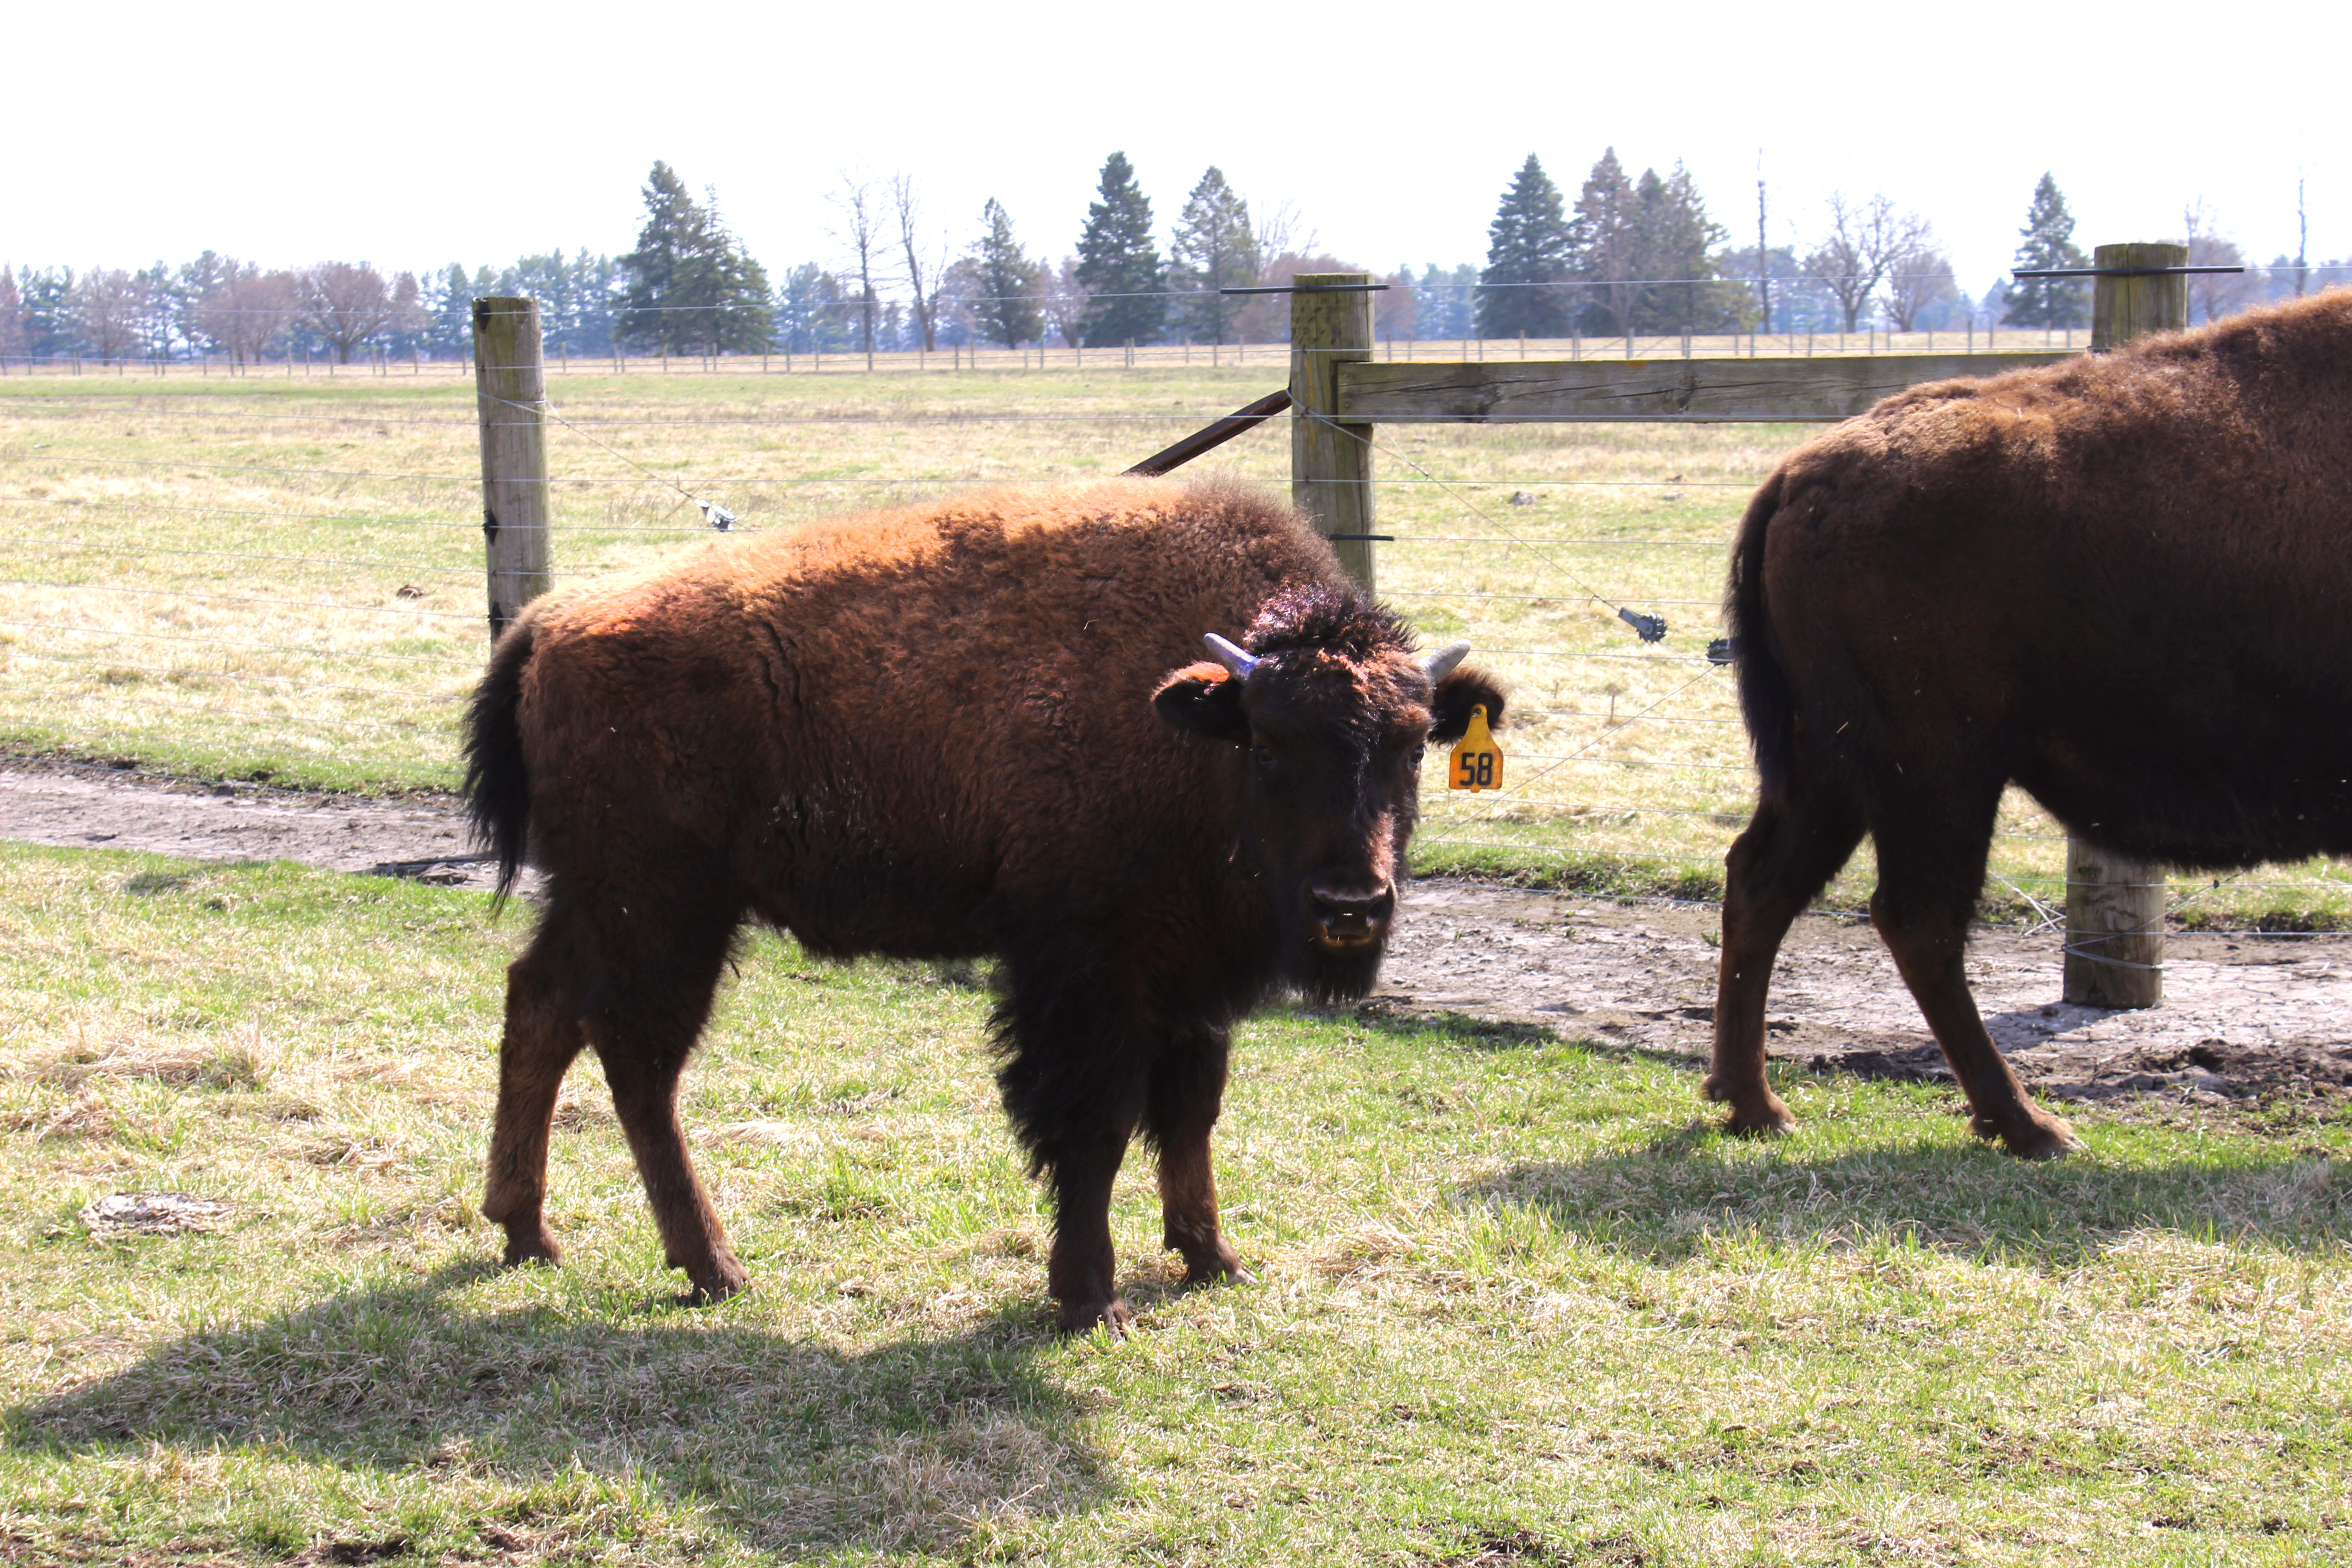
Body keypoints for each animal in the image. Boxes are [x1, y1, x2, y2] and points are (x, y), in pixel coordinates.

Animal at [458, 475, 1505, 1326]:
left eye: (1410, 743)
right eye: (1273, 746)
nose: (1349, 905)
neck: (1192, 729)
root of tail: (548, 623)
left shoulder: (1190, 981)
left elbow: (1189, 1114)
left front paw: (1213, 1258)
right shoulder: (1089, 974)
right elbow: (1092, 1127)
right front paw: (1089, 1299)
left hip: (598, 903)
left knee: (539, 1008)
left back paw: (526, 1231)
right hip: (666, 914)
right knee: (637, 1062)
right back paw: (713, 1267)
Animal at [1712, 294, 2352, 1161]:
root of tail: (1800, 474)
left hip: (1832, 766)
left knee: (1764, 883)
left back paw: (1755, 1105)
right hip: (1934, 770)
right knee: (1917, 919)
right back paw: (2029, 1125)